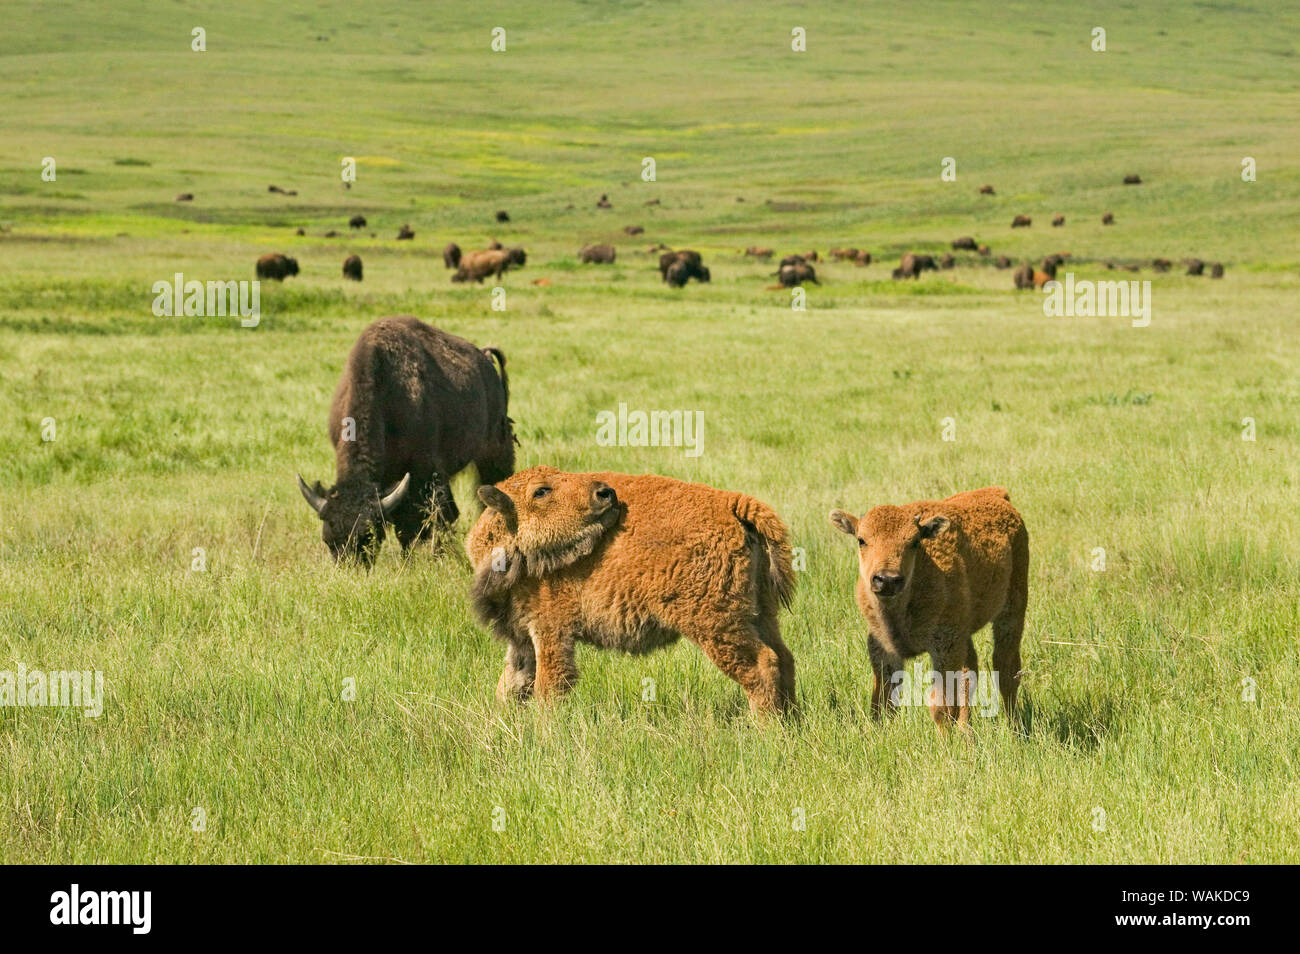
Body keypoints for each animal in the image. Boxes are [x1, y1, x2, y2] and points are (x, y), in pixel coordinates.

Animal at [297, 314, 514, 566]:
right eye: (328, 540)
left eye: (368, 536)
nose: (350, 568)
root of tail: (485, 359)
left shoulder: (424, 473)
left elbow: (412, 527)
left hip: (494, 451)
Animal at [462, 470, 795, 717]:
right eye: (541, 491)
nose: (605, 493)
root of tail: (731, 502)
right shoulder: (522, 639)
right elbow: (510, 685)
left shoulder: (551, 632)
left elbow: (549, 688)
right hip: (760, 614)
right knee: (784, 658)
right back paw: (790, 722)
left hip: (713, 624)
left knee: (761, 665)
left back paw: (766, 731)